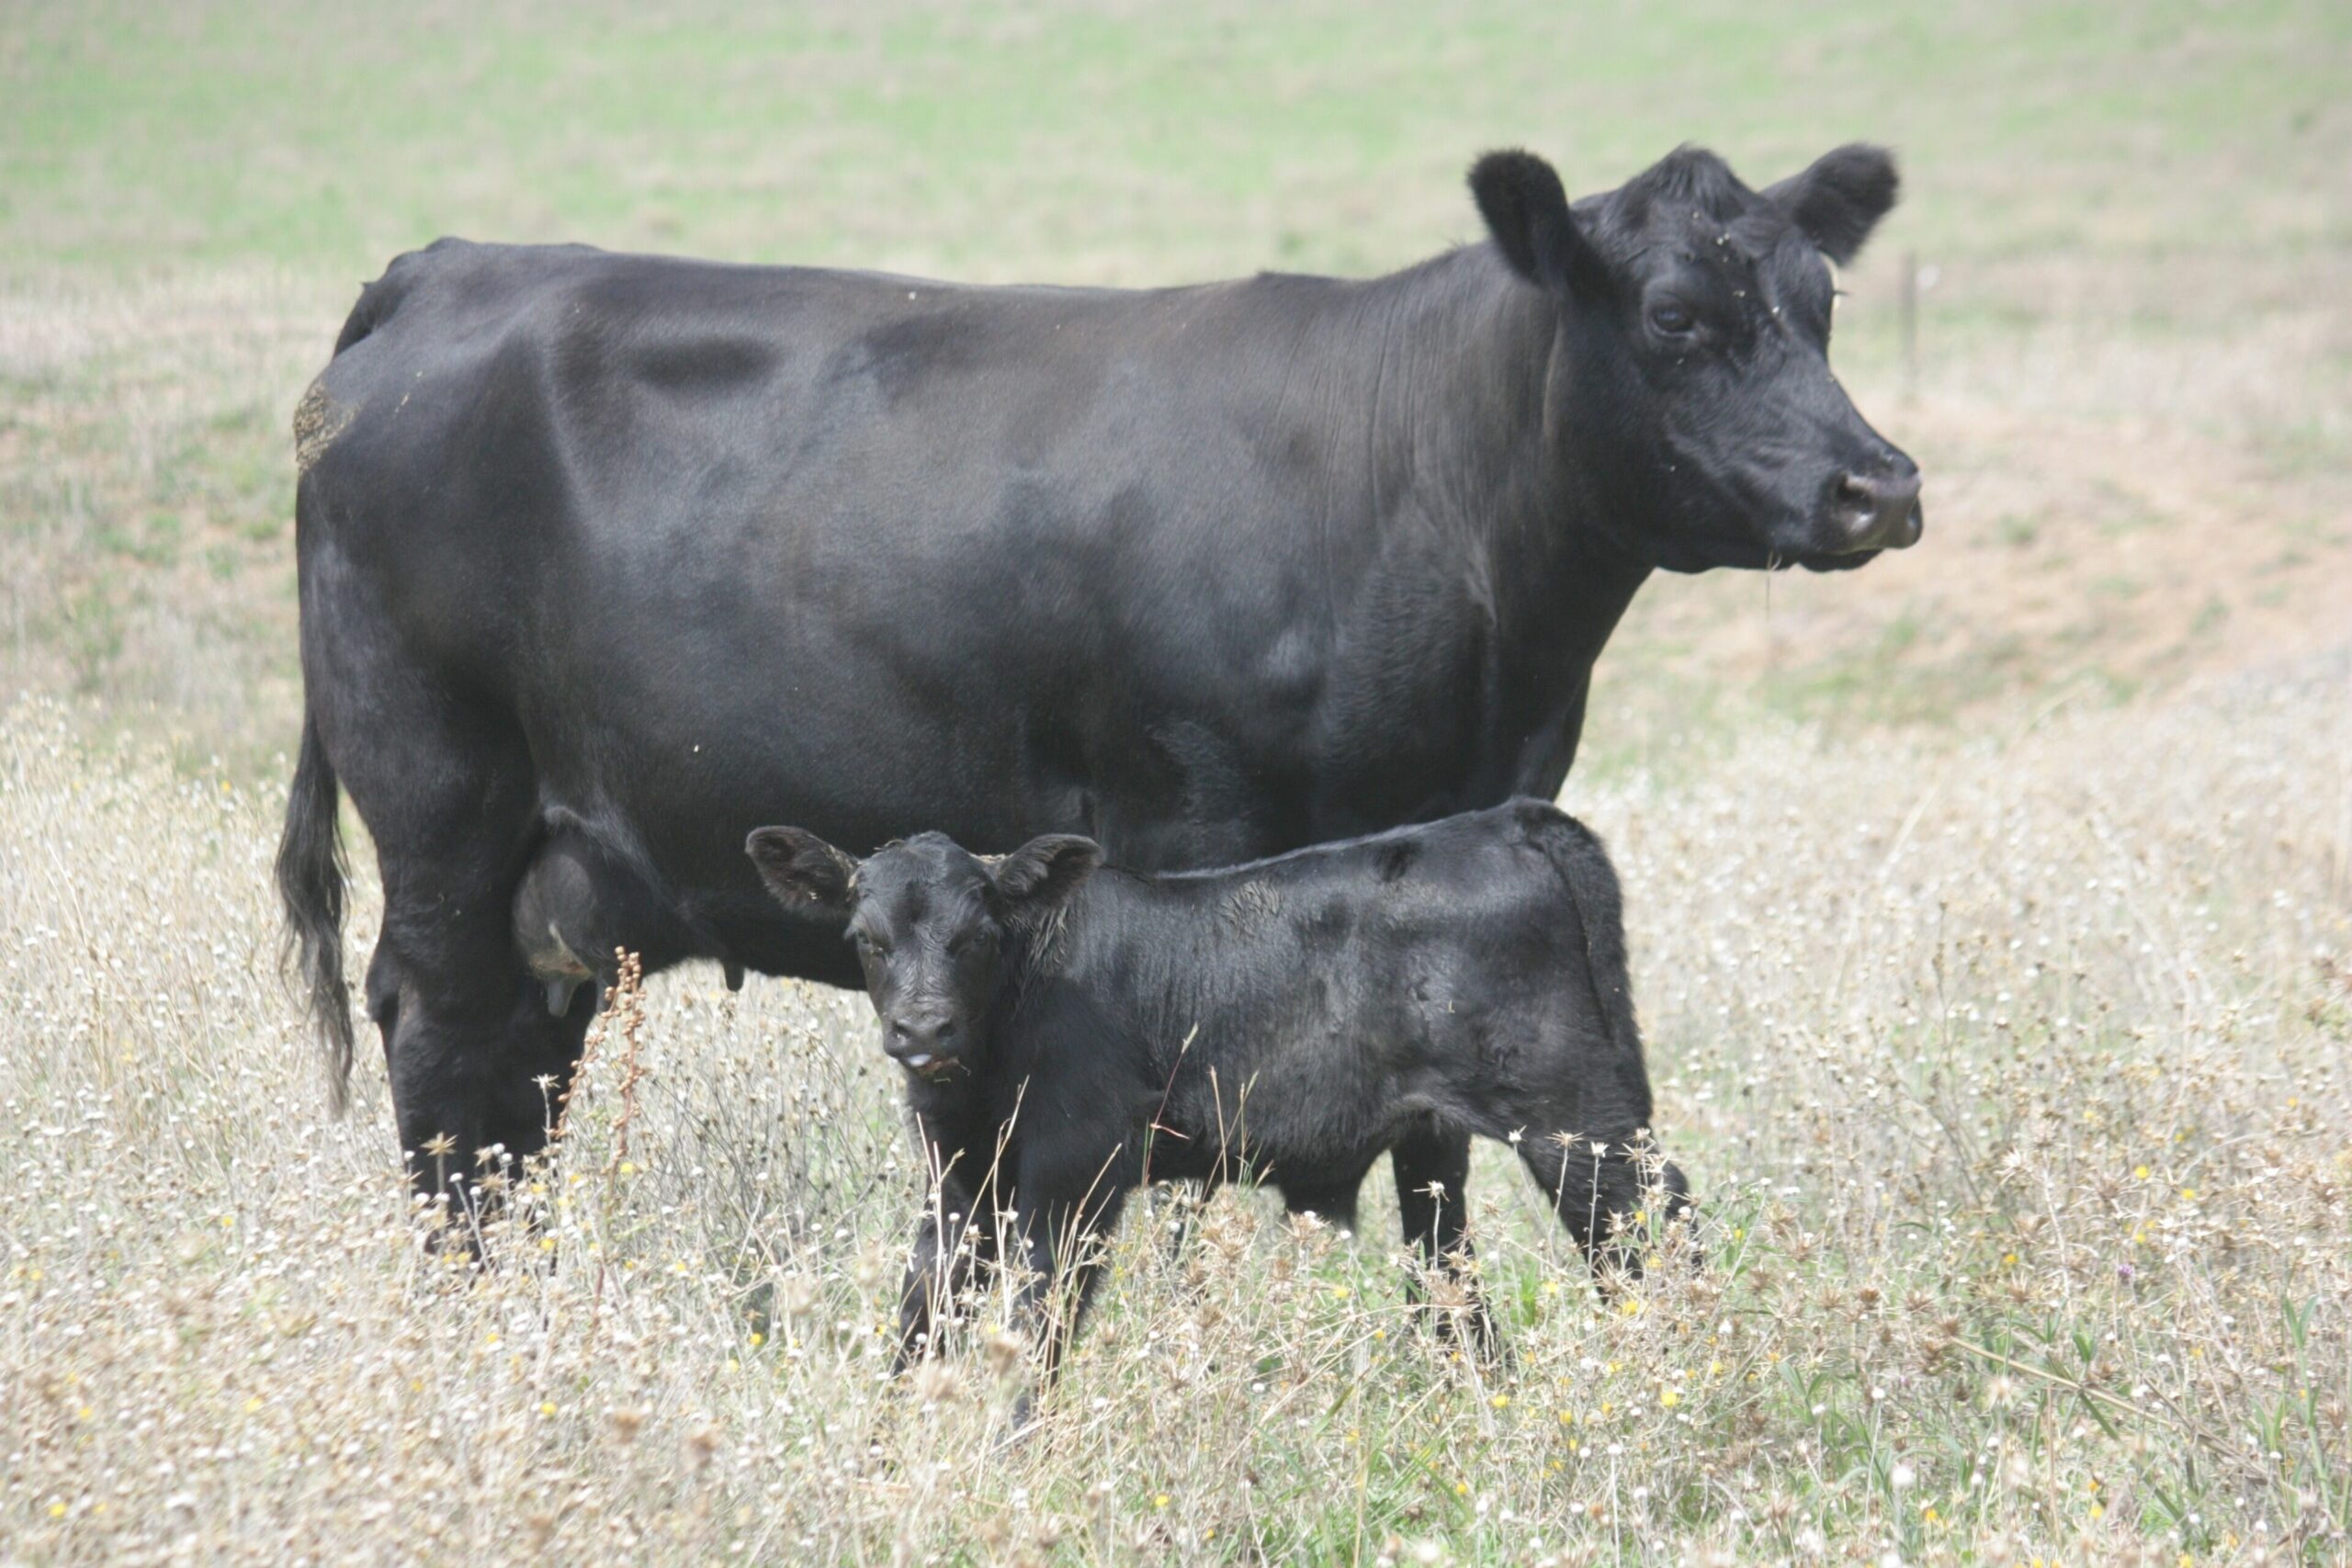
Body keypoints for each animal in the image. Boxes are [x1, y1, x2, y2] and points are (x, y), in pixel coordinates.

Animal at [284, 143, 1918, 1241]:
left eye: (1824, 299)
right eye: (1673, 316)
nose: (1878, 484)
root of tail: (445, 267)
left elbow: (1434, 1149)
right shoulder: (1195, 829)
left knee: (518, 1081)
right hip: (442, 810)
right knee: (445, 1049)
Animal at [752, 804, 1693, 1382]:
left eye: (977, 935)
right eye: (865, 939)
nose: (924, 1031)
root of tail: (1506, 820)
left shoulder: (1075, 1177)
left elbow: (1040, 1322)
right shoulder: (957, 1183)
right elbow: (922, 1314)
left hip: (1574, 1117)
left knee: (1653, 1221)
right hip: (1438, 1143)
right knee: (1453, 1278)